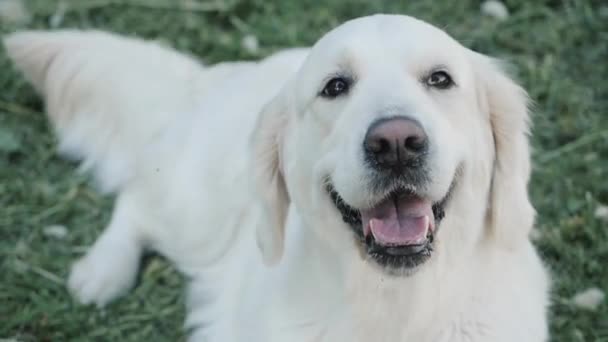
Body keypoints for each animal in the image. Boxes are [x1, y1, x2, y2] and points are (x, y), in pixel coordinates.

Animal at [2, 14, 548, 342]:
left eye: (439, 79)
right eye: (335, 86)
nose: (396, 143)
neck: (396, 305)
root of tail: (214, 75)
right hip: (193, 206)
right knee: (135, 200)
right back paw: (102, 270)